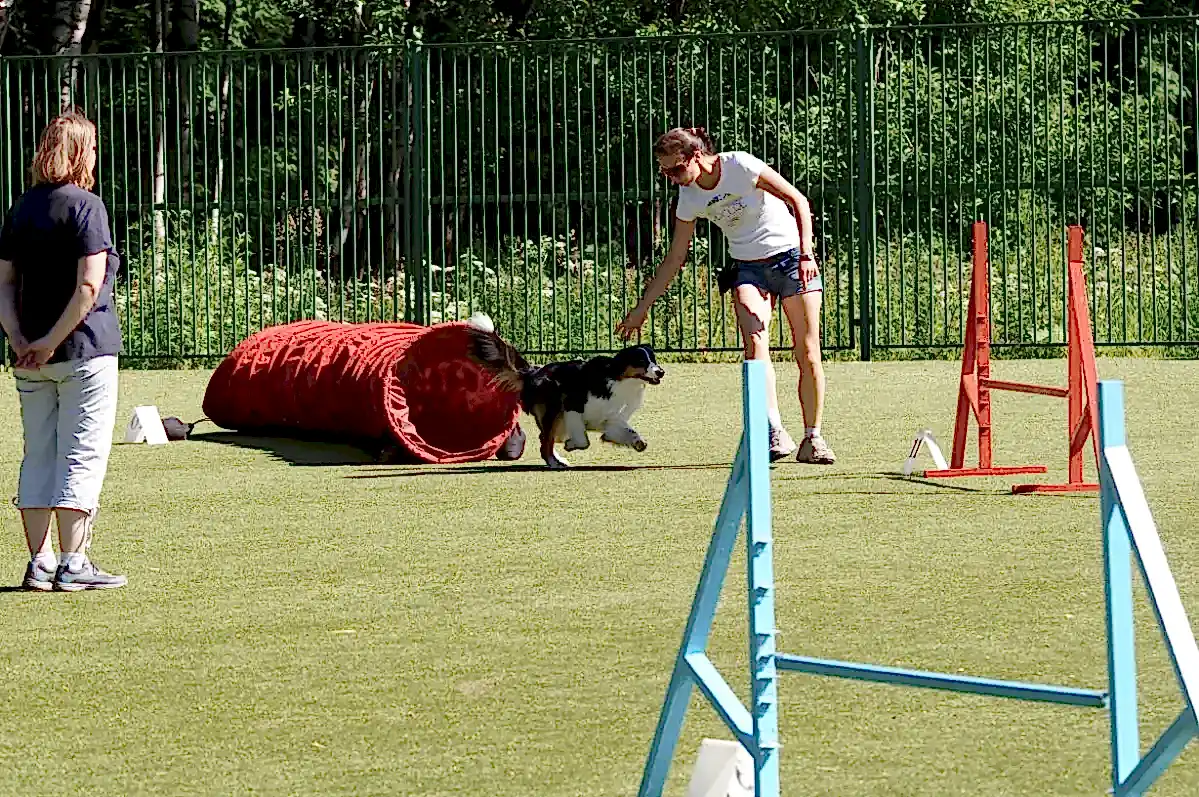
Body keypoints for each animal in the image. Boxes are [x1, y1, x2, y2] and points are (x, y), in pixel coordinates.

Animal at [465, 313, 665, 470]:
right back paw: (554, 462)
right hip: (553, 408)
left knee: (545, 437)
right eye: (641, 361)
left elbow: (627, 431)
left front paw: (638, 443)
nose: (661, 372)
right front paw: (570, 444)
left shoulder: (612, 419)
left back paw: (557, 459)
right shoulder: (572, 405)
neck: (620, 380)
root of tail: (533, 371)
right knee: (545, 440)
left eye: (654, 360)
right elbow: (583, 440)